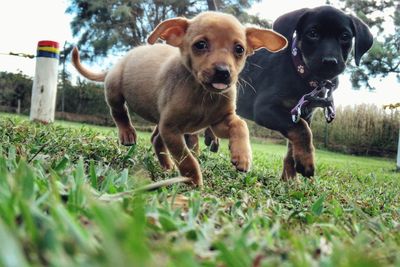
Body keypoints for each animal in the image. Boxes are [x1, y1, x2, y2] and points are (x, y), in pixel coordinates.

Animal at [72, 11, 288, 187]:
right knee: (119, 112)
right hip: (115, 90)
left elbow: (240, 125)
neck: (203, 95)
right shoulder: (172, 130)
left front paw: (242, 156)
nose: (223, 72)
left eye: (239, 49)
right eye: (200, 45)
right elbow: (187, 159)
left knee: (155, 139)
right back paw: (127, 134)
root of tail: (118, 62)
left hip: (160, 118)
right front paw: (194, 181)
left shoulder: (219, 121)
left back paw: (167, 166)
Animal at [208, 5, 374, 180]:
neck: (301, 73)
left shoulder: (303, 114)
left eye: (345, 36)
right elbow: (303, 131)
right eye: (312, 34)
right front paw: (307, 164)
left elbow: (293, 146)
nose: (330, 62)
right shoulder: (265, 109)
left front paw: (290, 178)